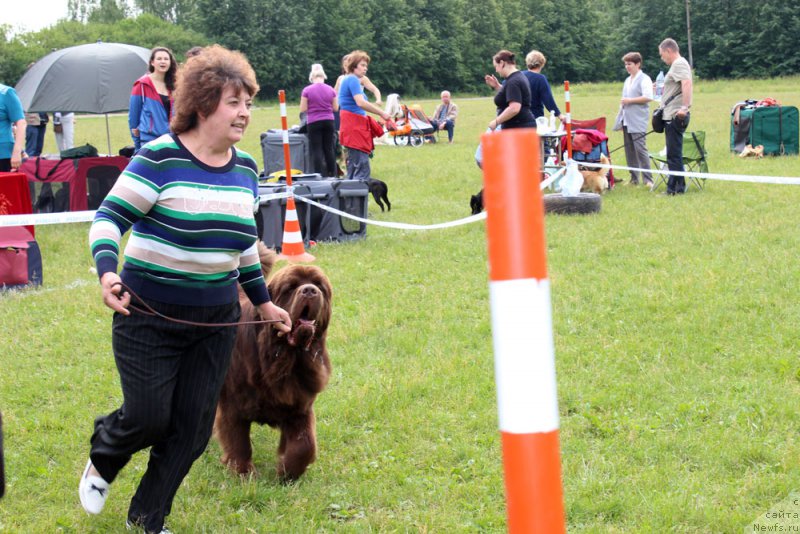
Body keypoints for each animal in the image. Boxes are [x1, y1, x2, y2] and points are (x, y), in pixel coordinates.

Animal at [212, 245, 332, 484]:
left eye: (320, 286)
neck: (284, 358)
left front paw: (287, 473)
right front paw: (244, 473)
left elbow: (304, 445)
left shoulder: (300, 404)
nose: (310, 290)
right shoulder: (233, 404)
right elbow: (238, 441)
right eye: (290, 288)